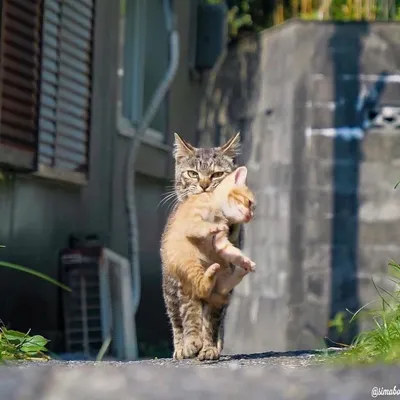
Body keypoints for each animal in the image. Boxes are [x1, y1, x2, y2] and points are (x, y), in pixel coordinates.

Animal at [160, 166, 256, 306]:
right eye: (249, 203)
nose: (251, 216)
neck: (216, 206)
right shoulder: (191, 222)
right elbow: (200, 226)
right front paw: (213, 227)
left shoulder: (220, 242)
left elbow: (231, 251)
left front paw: (244, 260)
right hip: (190, 263)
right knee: (203, 290)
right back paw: (210, 275)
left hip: (223, 269)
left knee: (221, 288)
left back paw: (240, 270)